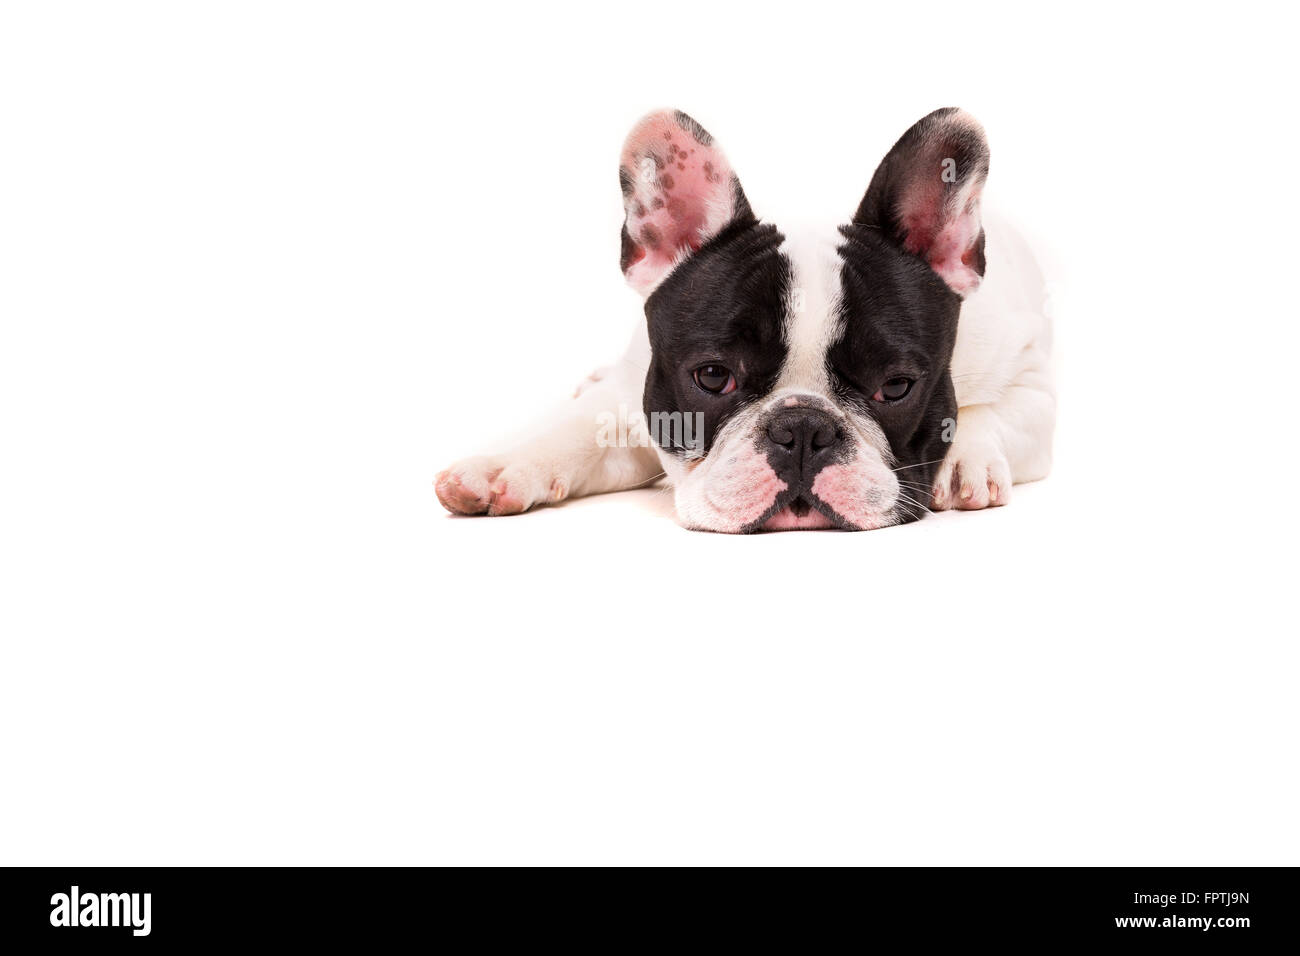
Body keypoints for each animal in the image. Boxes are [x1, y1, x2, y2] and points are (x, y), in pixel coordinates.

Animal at [431, 110, 1050, 538]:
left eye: (896, 386)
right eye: (712, 376)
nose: (803, 430)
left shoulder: (1034, 384)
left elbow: (992, 411)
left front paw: (965, 459)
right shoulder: (637, 395)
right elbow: (578, 430)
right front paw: (503, 466)